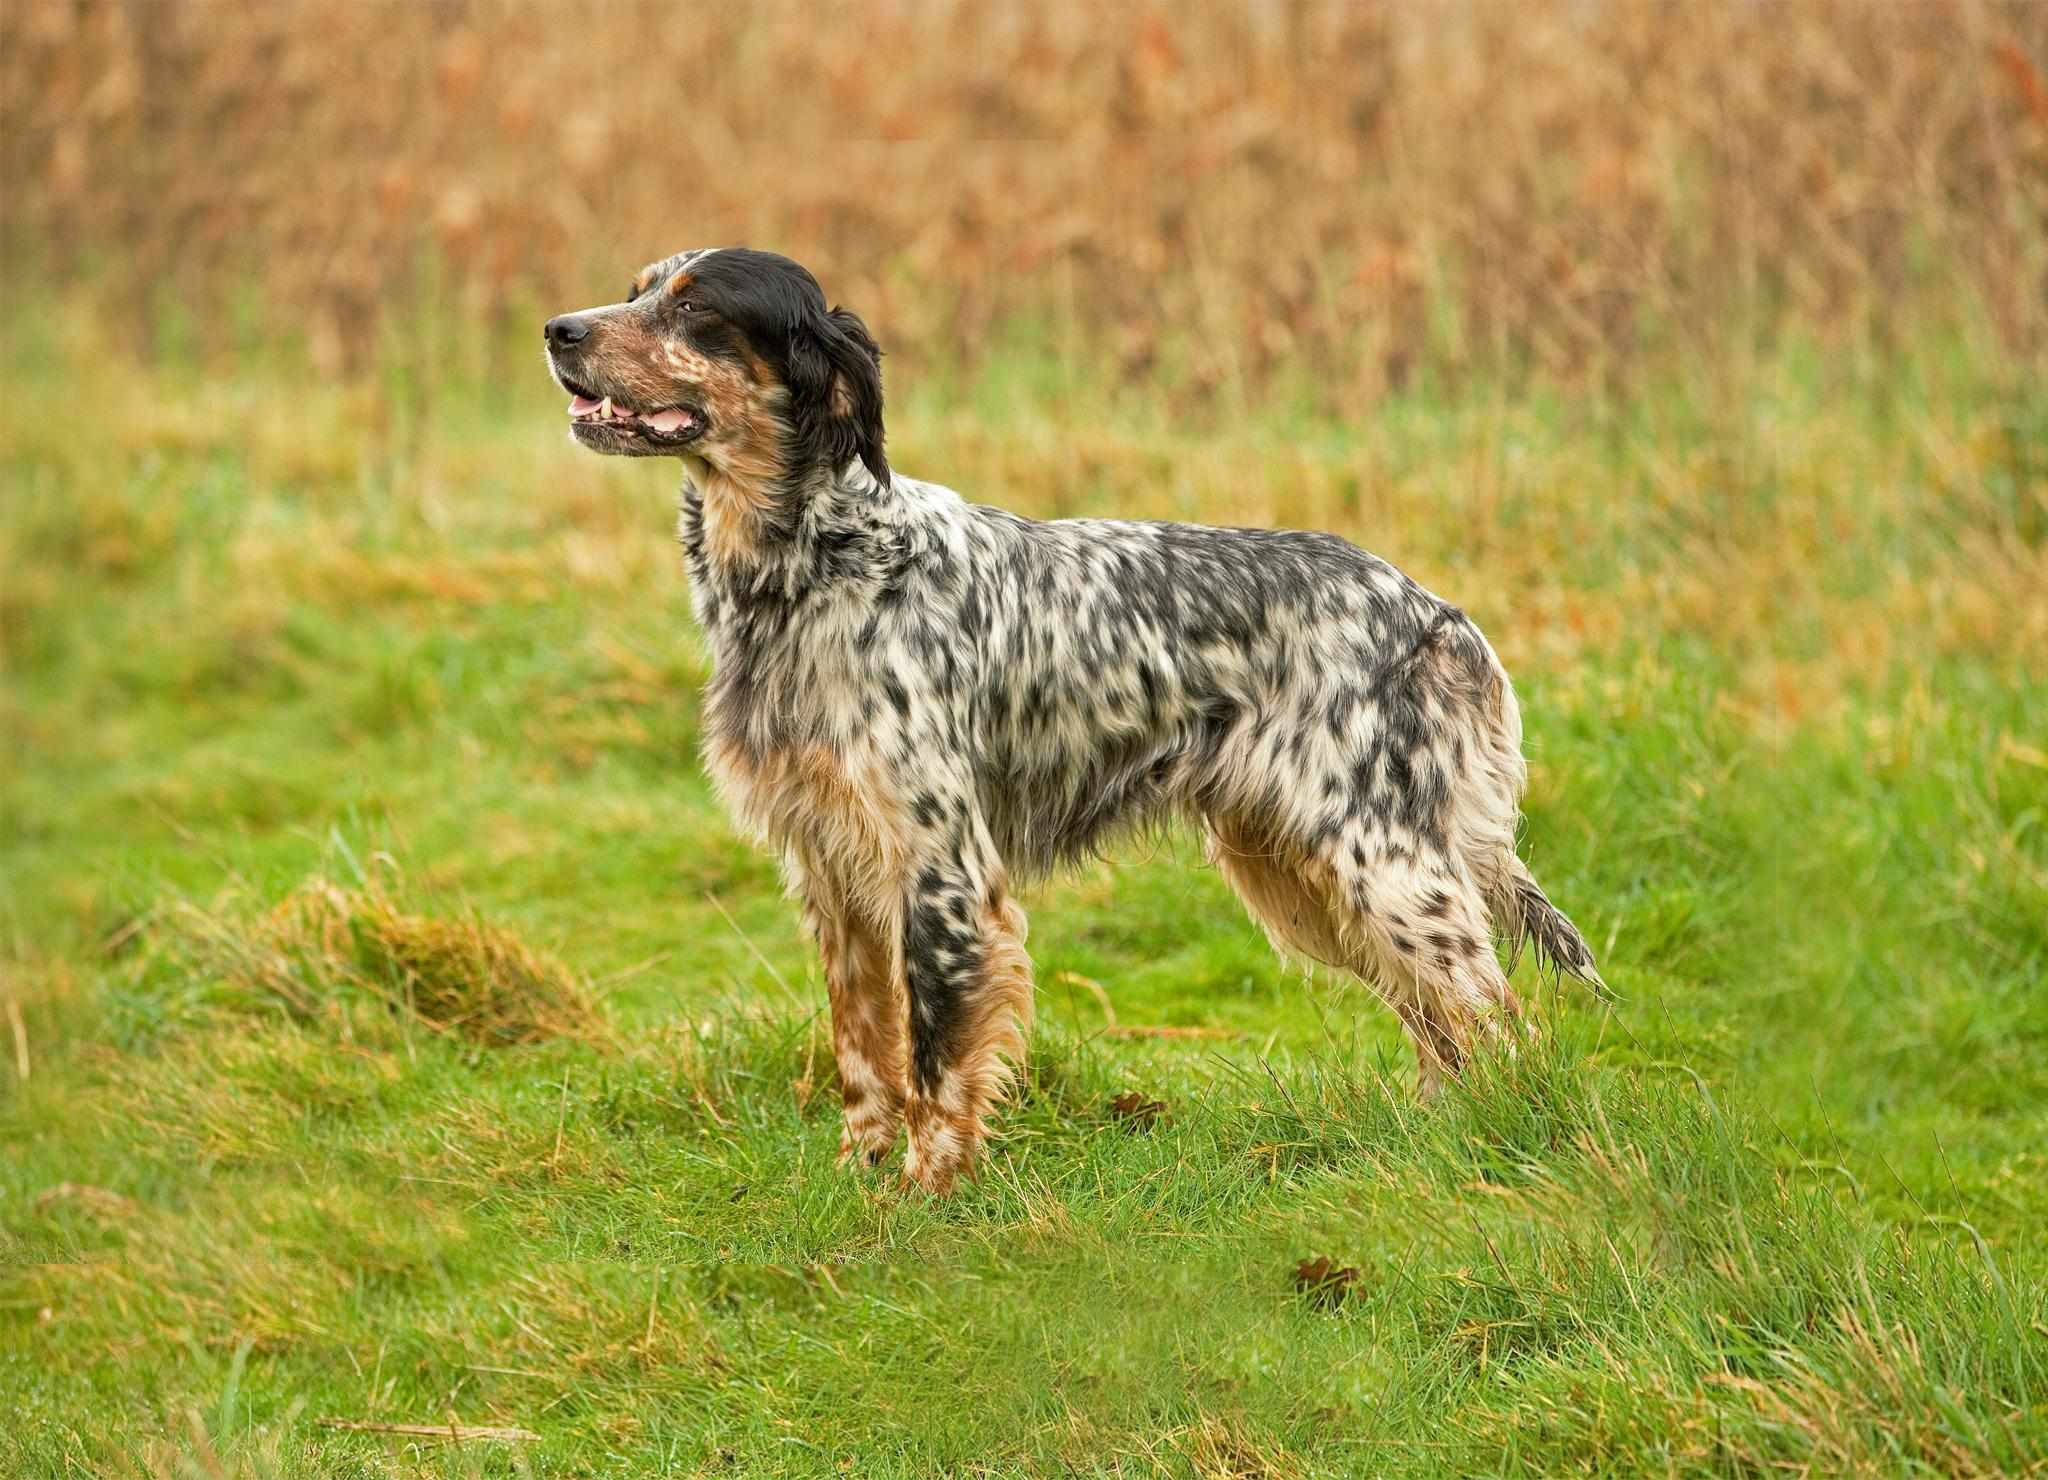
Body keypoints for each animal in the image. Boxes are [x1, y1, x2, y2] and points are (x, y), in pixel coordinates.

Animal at [544, 243, 1597, 1195]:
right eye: (636, 290)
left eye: (695, 307)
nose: (559, 329)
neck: (816, 568)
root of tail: (1436, 612)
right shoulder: (830, 868)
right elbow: (863, 1051)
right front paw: (859, 1173)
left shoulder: (943, 870)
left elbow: (936, 1058)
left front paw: (926, 1197)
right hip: (1305, 874)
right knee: (1445, 1026)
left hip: (1385, 868)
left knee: (1496, 1019)